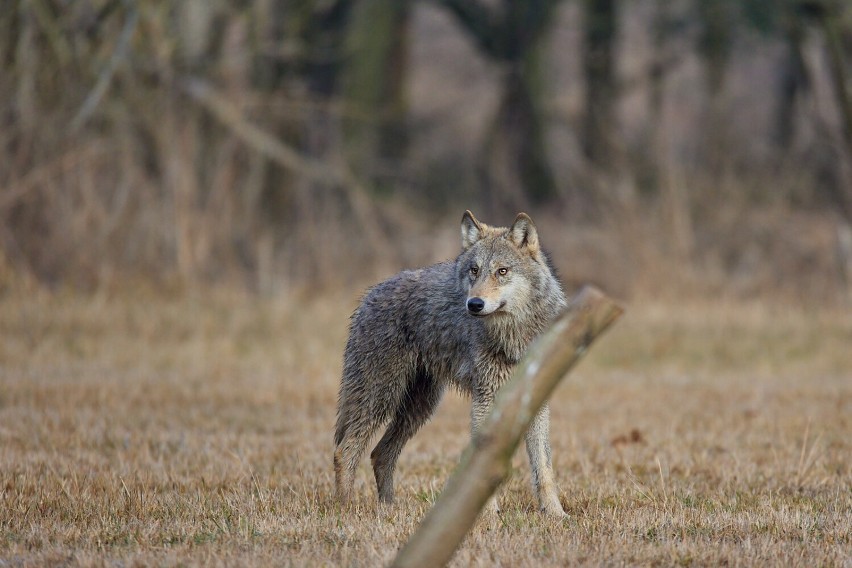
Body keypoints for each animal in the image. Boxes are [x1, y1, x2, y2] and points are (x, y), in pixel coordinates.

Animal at [332, 211, 564, 516]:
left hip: (419, 408)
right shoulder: (484, 399)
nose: (474, 304)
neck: (515, 338)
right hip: (381, 398)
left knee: (380, 453)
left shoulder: (536, 399)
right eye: (474, 270)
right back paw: (346, 509)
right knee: (345, 451)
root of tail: (368, 296)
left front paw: (555, 513)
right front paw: (488, 515)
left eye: (502, 271)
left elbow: (544, 466)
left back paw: (389, 508)